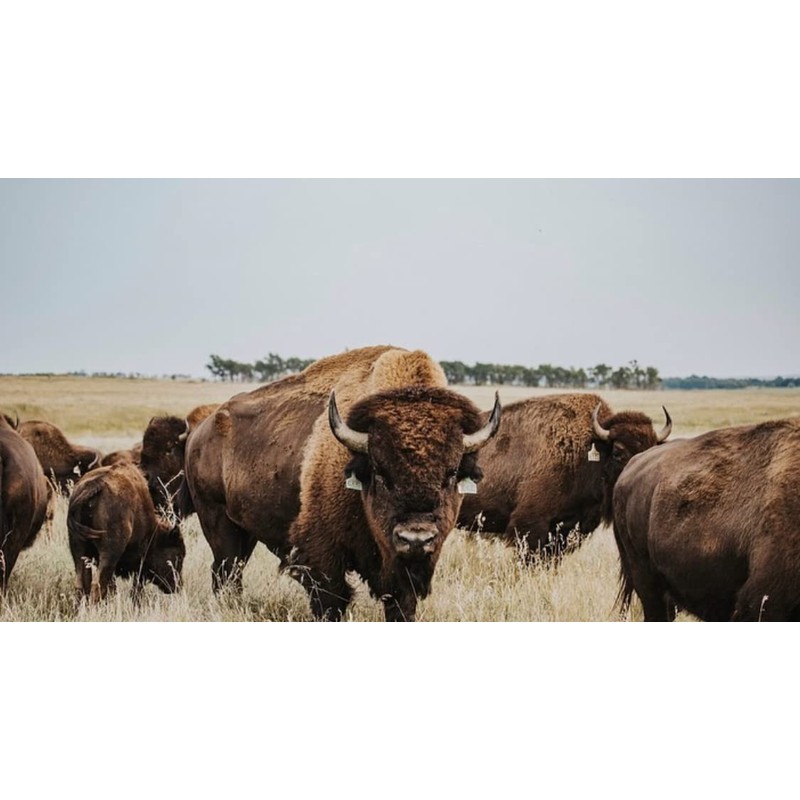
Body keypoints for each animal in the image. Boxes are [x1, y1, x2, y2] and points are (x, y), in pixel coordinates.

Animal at [183, 345, 501, 620]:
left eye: (452, 473)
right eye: (380, 471)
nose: (415, 539)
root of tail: (201, 429)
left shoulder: (404, 577)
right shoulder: (323, 562)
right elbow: (331, 602)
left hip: (245, 530)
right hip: (218, 523)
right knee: (225, 572)